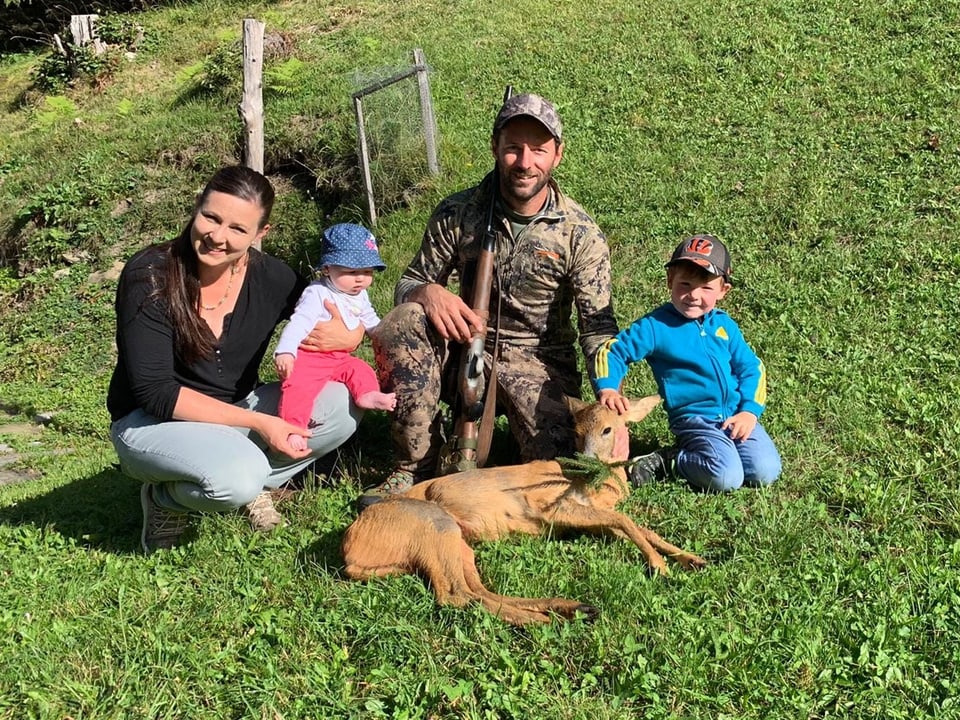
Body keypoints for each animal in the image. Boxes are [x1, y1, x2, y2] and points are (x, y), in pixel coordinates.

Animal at [340, 394, 704, 624]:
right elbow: (624, 518)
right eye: (577, 432)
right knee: (456, 595)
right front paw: (659, 566)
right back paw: (550, 620)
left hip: (456, 540)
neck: (592, 482)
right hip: (432, 523)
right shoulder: (548, 507)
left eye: (607, 429)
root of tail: (351, 549)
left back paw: (572, 608)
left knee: (475, 590)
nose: (583, 460)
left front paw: (691, 558)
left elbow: (637, 526)